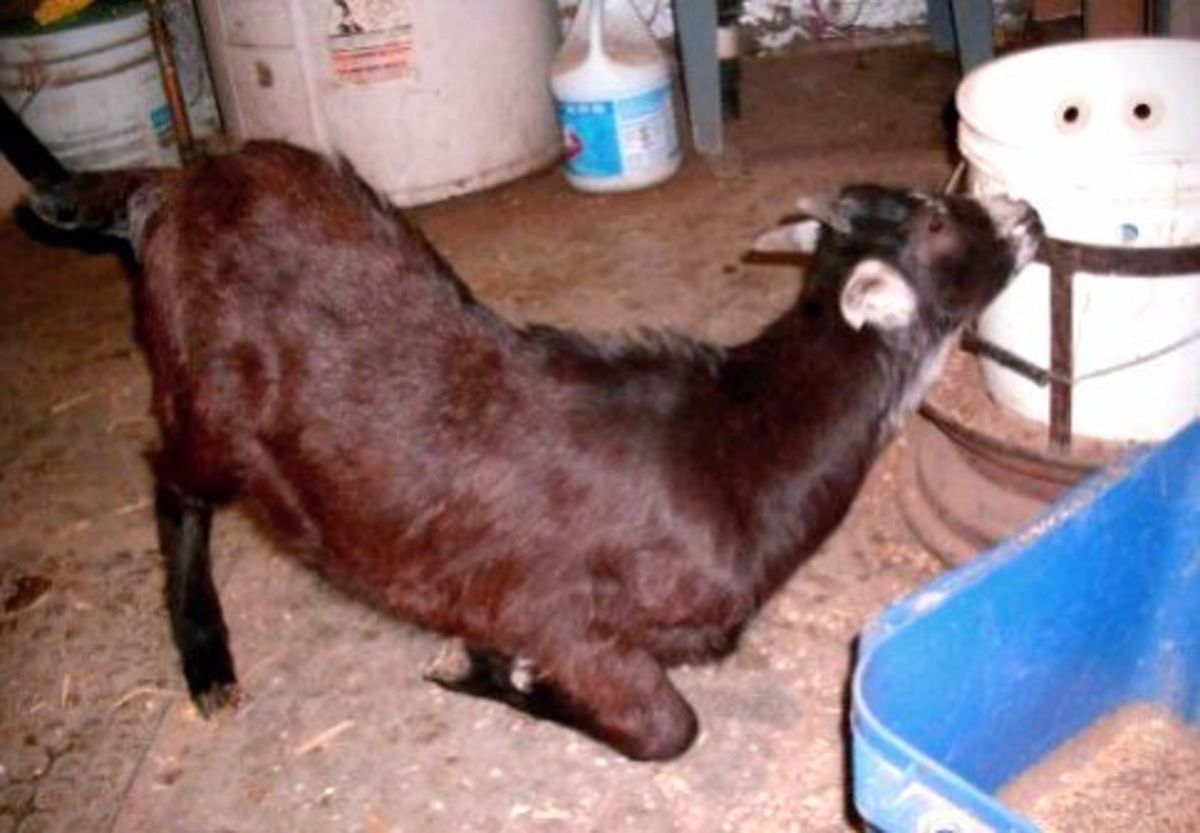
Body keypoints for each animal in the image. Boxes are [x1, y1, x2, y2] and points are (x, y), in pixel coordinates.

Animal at [30, 141, 1040, 761]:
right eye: (940, 224)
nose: (1028, 210)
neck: (738, 448)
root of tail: (174, 186)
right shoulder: (563, 616)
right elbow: (668, 728)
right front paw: (479, 667)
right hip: (209, 408)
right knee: (170, 483)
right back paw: (209, 666)